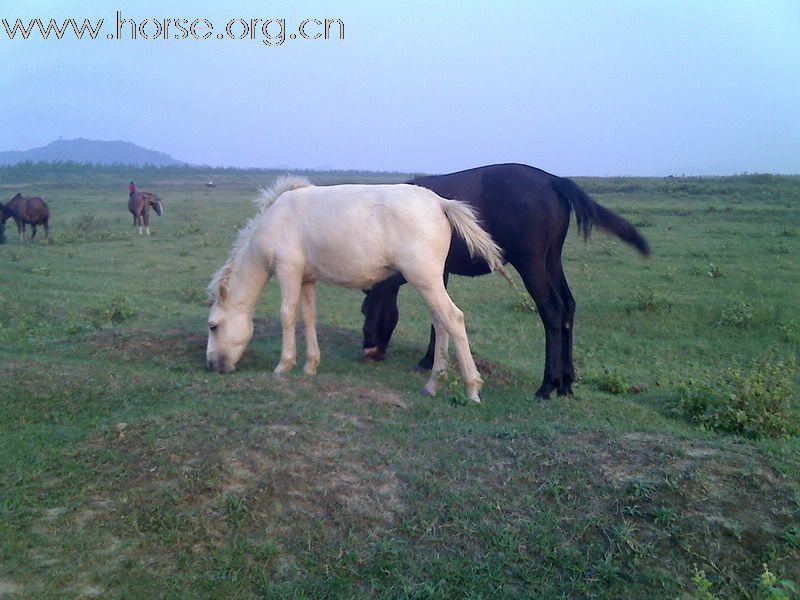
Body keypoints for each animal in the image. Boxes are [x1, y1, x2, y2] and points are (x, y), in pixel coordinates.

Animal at [208, 176, 506, 406]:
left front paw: (284, 365)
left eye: (213, 326)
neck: (276, 219)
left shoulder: (288, 271)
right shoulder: (306, 278)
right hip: (428, 283)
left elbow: (287, 315)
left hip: (425, 279)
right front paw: (310, 365)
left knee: (453, 320)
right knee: (440, 324)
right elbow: (307, 317)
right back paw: (432, 385)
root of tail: (440, 203)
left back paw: (472, 389)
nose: (212, 365)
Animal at [362, 163, 648, 398]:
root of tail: (553, 181)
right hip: (552, 260)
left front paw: (428, 360)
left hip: (531, 264)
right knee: (568, 306)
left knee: (552, 311)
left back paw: (547, 385)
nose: (369, 351)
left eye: (365, 310)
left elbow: (439, 318)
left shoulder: (435, 272)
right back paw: (566, 383)